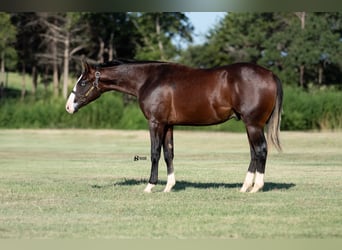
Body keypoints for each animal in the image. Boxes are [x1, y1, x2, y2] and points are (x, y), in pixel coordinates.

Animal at [65, 58, 282, 193]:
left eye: (83, 82)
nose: (68, 106)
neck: (149, 79)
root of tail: (270, 74)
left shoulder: (155, 123)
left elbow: (155, 153)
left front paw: (150, 186)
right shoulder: (168, 125)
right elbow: (169, 153)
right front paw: (169, 186)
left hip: (253, 125)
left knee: (261, 150)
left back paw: (256, 187)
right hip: (250, 125)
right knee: (254, 153)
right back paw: (245, 186)